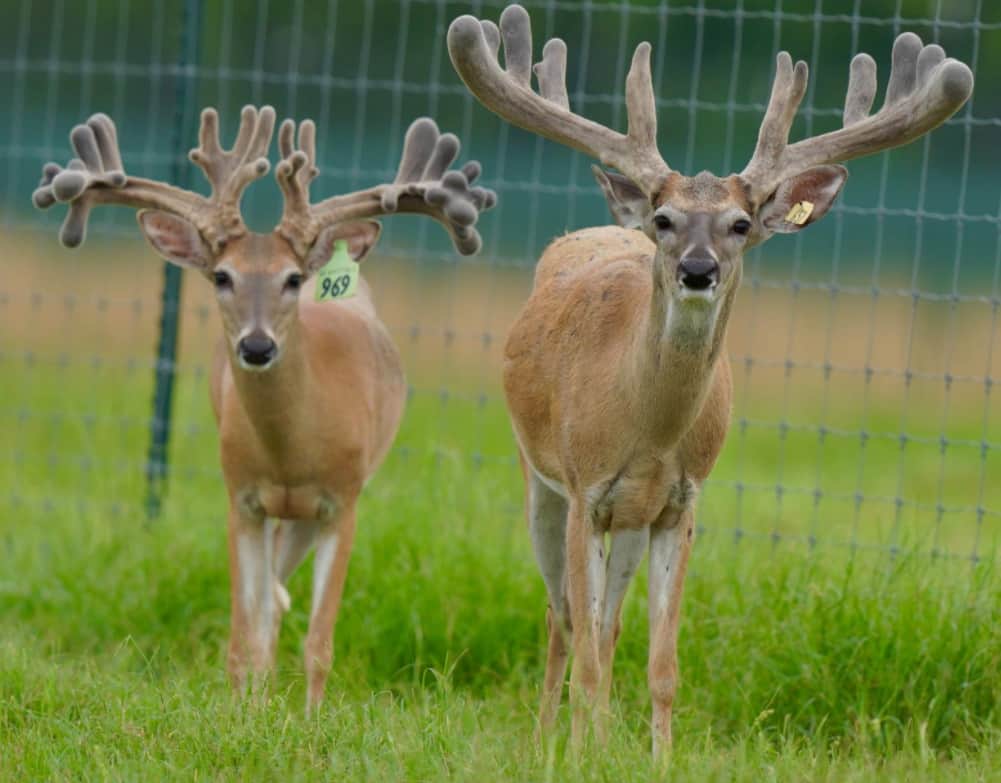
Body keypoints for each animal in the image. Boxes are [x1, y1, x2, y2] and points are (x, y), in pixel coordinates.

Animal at [33, 105, 496, 709]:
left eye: (292, 278)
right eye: (222, 276)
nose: (256, 347)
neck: (291, 453)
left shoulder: (342, 501)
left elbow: (319, 643)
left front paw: (312, 718)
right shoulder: (242, 499)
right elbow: (242, 636)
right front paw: (244, 712)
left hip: (315, 511)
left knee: (280, 598)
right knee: (270, 603)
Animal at [448, 3, 972, 755]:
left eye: (740, 223)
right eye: (666, 219)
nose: (698, 270)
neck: (645, 428)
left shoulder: (680, 503)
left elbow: (660, 661)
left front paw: (653, 757)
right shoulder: (584, 488)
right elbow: (583, 650)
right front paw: (579, 753)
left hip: (629, 521)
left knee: (605, 623)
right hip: (537, 478)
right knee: (562, 618)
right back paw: (548, 736)